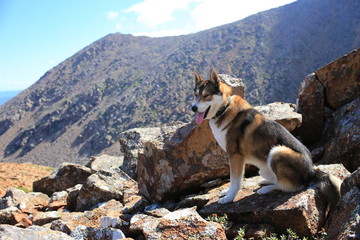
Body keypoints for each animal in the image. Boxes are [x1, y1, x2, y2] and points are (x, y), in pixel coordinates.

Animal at [190, 69, 342, 212]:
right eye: (196, 95)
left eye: (206, 96)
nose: (193, 108)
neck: (224, 107)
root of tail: (311, 172)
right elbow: (234, 179)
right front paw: (227, 193)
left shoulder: (235, 155)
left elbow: (235, 180)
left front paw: (229, 197)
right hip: (265, 166)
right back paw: (265, 182)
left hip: (277, 151)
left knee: (290, 186)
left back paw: (266, 189)